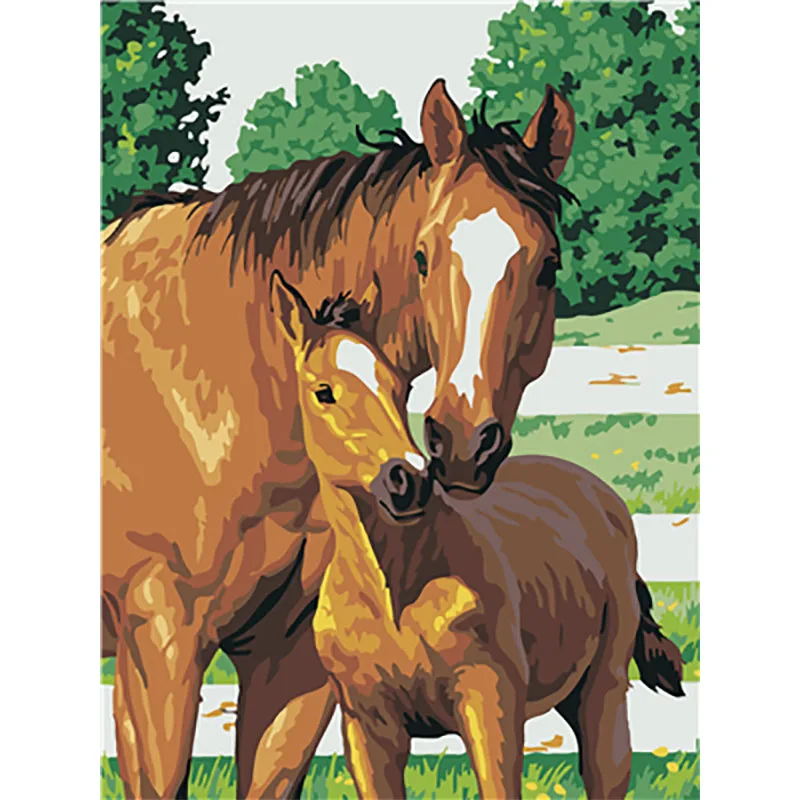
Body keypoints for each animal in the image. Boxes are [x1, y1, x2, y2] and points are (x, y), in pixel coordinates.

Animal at [271, 273, 684, 800]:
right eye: (324, 391)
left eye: (400, 387)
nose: (407, 481)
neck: (394, 593)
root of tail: (600, 495)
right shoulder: (367, 727)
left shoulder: (491, 708)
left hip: (603, 693)